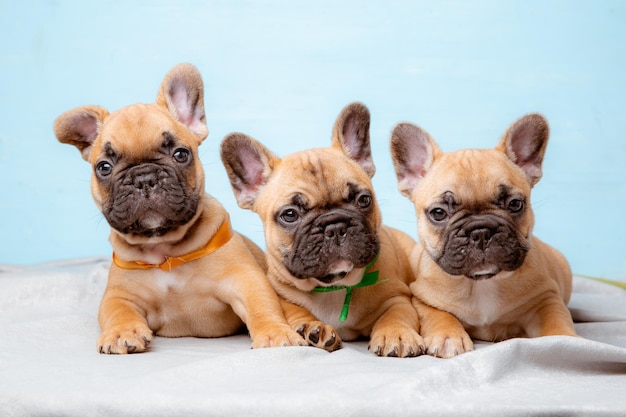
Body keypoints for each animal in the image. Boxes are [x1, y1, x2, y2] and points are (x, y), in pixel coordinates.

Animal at [54, 63, 304, 352]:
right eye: (104, 167)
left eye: (181, 154)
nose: (144, 178)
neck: (163, 249)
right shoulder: (119, 295)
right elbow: (118, 311)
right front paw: (121, 332)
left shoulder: (246, 280)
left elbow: (262, 306)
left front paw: (274, 333)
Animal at [219, 102, 424, 356]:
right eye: (290, 215)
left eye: (364, 200)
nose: (335, 225)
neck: (334, 286)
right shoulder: (282, 298)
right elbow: (295, 312)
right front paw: (312, 328)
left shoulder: (397, 296)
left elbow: (396, 313)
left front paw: (396, 334)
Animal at [390, 113, 576, 358]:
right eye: (438, 213)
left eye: (515, 204)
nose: (480, 231)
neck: (481, 283)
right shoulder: (422, 298)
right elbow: (439, 314)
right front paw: (448, 337)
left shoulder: (546, 297)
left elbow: (556, 318)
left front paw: (566, 342)